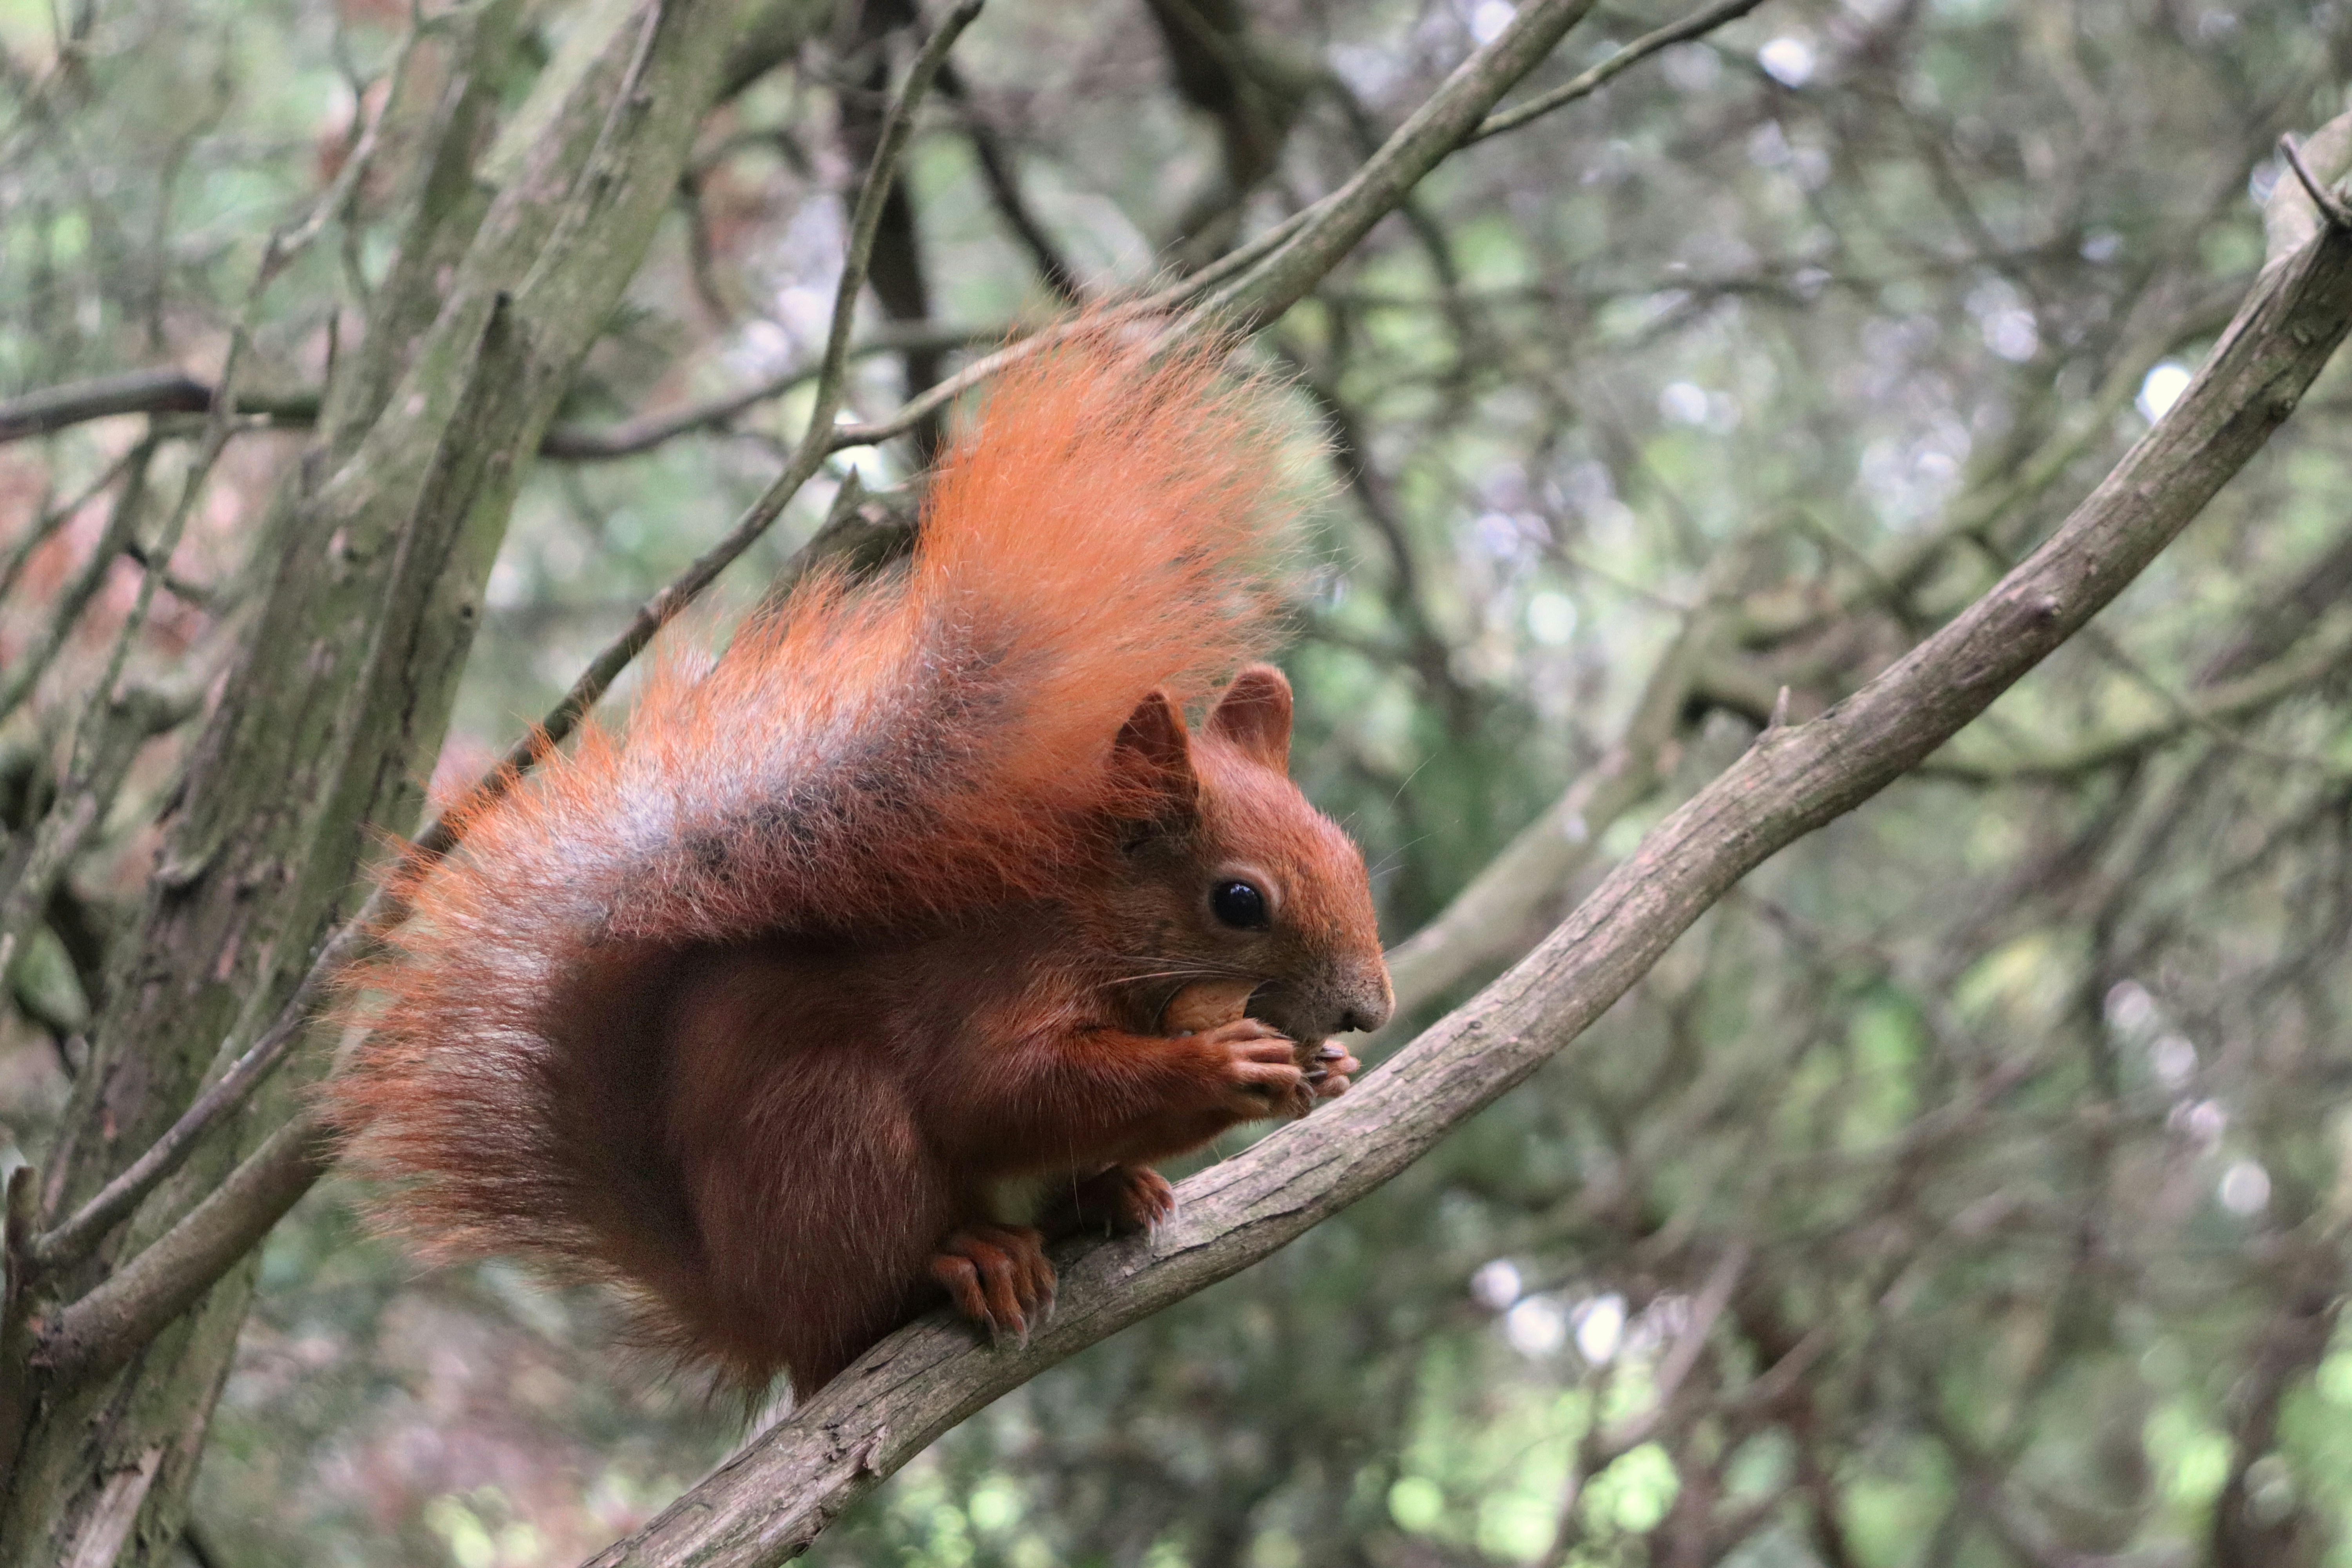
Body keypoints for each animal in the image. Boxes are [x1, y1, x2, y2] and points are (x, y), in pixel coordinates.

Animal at [324, 333, 1394, 1395]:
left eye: (1349, 850)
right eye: (1239, 900)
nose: (1368, 1012)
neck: (1094, 917)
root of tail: (754, 1311)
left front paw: (1329, 1070)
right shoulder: (998, 977)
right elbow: (1000, 1089)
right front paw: (1222, 1064)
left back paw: (1113, 1193)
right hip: (835, 1136)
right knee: (871, 1290)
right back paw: (969, 1257)